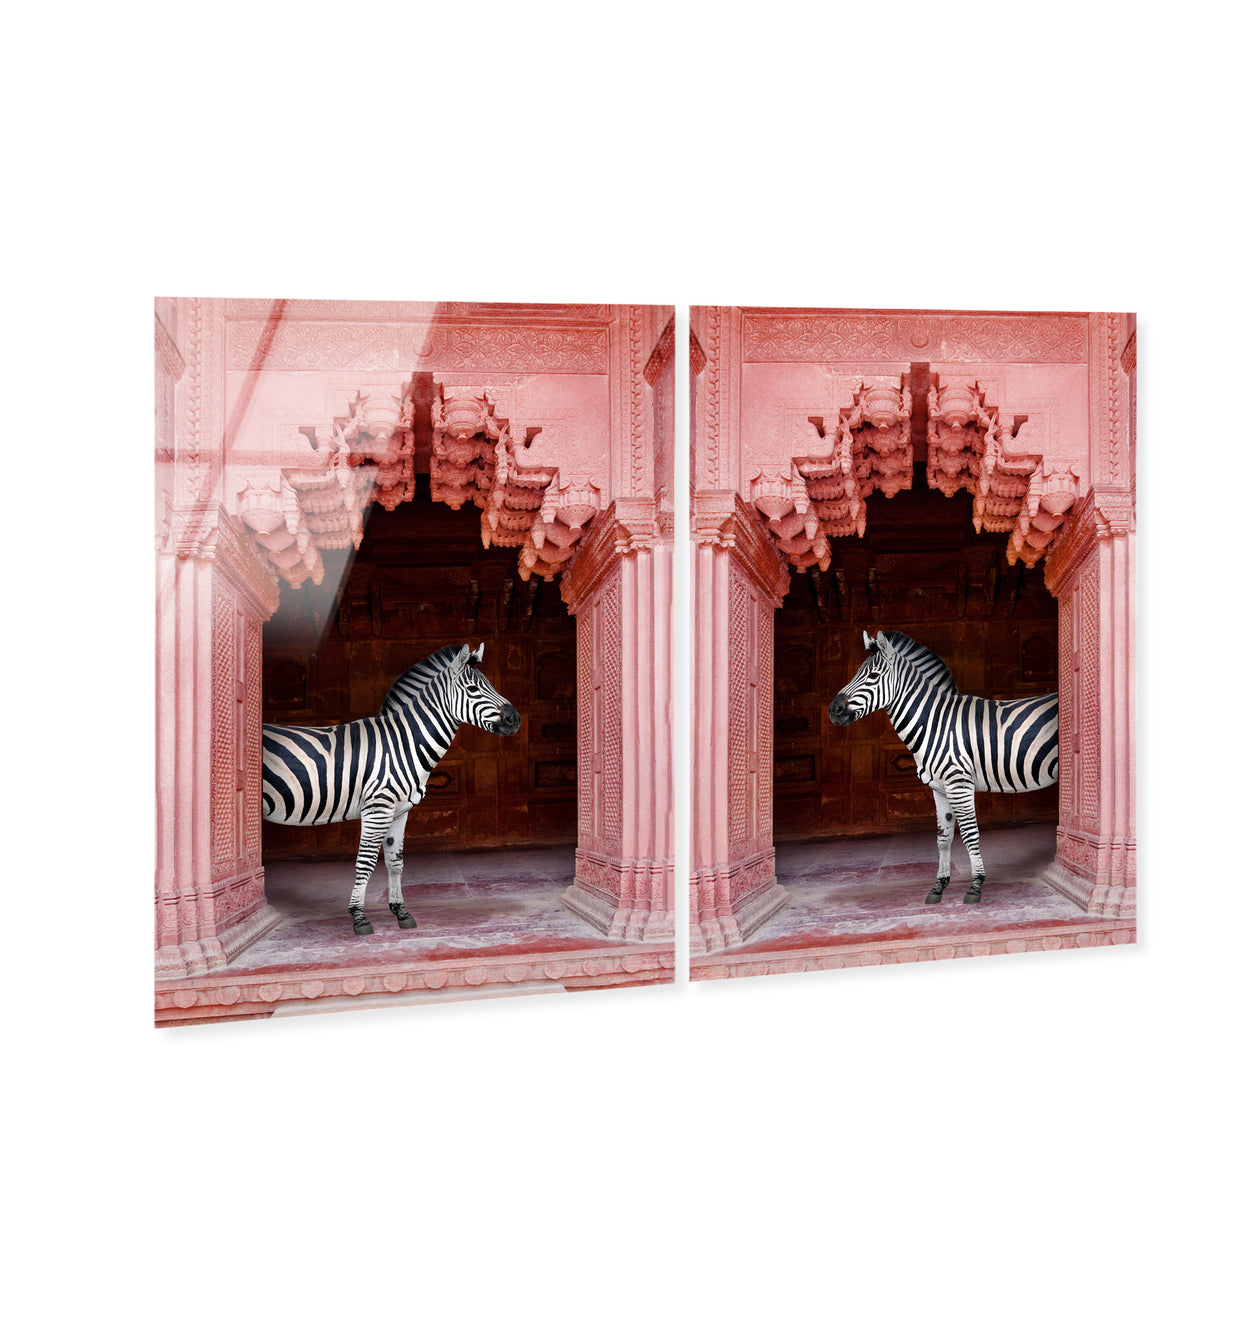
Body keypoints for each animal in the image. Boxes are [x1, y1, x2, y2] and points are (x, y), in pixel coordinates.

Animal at [261, 643, 521, 935]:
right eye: (474, 689)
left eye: (490, 684)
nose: (515, 719)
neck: (402, 743)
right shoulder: (378, 809)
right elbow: (365, 863)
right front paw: (359, 917)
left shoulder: (399, 811)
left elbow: (396, 862)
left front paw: (401, 912)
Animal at [828, 630, 1058, 905]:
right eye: (855, 674)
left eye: (872, 676)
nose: (833, 710)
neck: (936, 724)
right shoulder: (939, 789)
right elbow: (943, 837)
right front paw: (939, 886)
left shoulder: (959, 784)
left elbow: (969, 835)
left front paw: (976, 886)